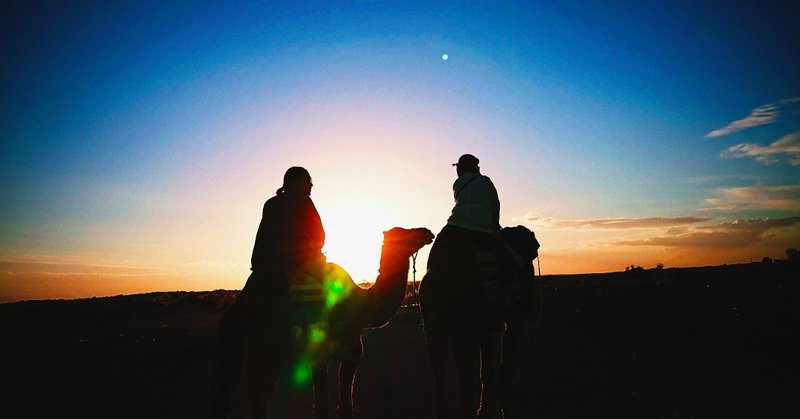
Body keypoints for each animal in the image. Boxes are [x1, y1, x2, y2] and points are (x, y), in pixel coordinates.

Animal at [208, 228, 432, 418]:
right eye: (403, 233)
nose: (426, 232)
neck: (362, 304)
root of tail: (239, 305)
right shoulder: (338, 348)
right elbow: (329, 405)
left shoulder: (337, 351)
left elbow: (335, 403)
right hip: (265, 348)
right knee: (258, 398)